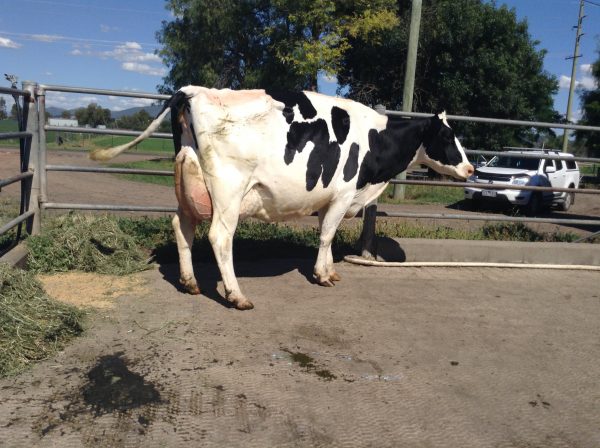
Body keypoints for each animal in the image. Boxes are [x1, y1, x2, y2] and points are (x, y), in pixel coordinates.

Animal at [91, 86, 474, 310]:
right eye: (447, 136)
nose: (470, 168)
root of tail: (193, 90)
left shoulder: (327, 199)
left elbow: (326, 235)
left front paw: (330, 271)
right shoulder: (342, 194)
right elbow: (327, 235)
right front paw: (322, 275)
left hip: (188, 183)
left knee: (182, 228)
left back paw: (190, 283)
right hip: (228, 190)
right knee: (219, 237)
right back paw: (237, 295)